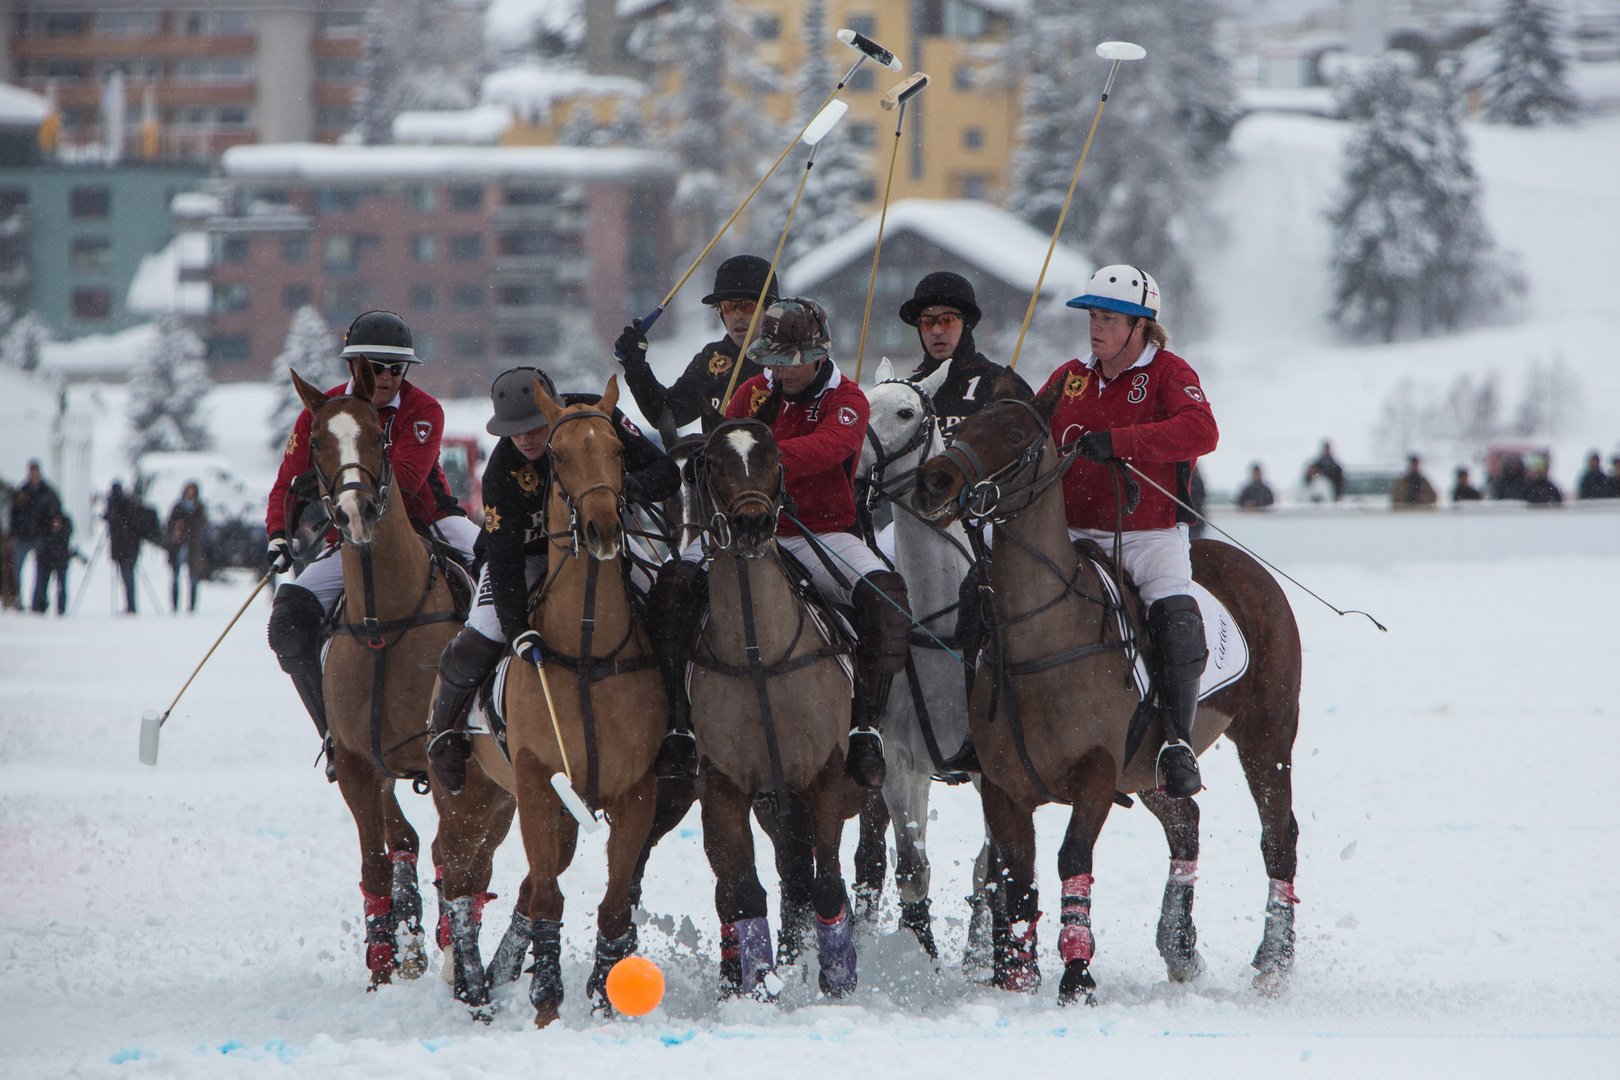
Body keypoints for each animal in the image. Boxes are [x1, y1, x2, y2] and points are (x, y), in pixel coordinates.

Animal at [288, 367, 486, 990]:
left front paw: (450, 953)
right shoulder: (357, 762)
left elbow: (454, 853)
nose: (354, 514)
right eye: (315, 442)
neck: (384, 620)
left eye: (382, 438)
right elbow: (376, 861)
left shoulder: (444, 759)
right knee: (403, 839)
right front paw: (382, 966)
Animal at [430, 380, 664, 1029]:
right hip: (470, 797)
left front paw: (606, 1000)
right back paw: (473, 989)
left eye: (618, 448)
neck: (586, 646)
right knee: (461, 878)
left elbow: (611, 906)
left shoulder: (635, 790)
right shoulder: (537, 779)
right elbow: (551, 900)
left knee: (520, 882)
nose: (604, 527)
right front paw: (546, 1005)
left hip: (532, 808)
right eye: (556, 456)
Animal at [690, 417, 881, 1003]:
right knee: (792, 878)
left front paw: (839, 980)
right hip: (778, 809)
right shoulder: (727, 785)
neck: (758, 654)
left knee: (864, 863)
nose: (752, 523)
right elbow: (745, 891)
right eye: (713, 462)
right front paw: (760, 985)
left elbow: (829, 886)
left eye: (776, 460)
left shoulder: (824, 775)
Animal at [913, 388, 1302, 1003]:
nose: (933, 481)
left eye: (1014, 434)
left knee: (1277, 834)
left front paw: (1077, 977)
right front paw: (1015, 977)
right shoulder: (1001, 786)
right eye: (959, 428)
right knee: (1185, 819)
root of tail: (1252, 570)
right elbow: (1016, 878)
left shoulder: (1096, 773)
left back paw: (1273, 960)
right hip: (1148, 767)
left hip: (1268, 732)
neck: (1042, 634)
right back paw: (1180, 947)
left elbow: (1072, 858)